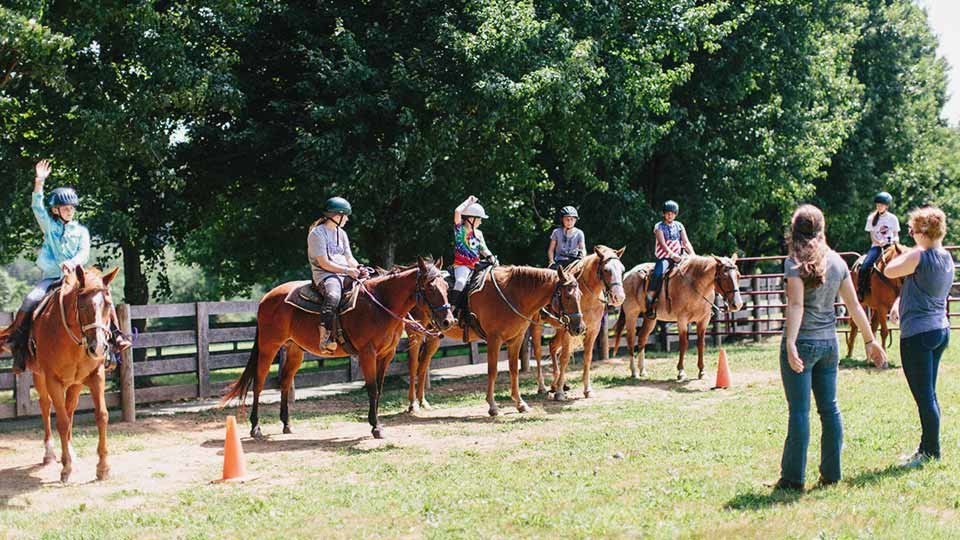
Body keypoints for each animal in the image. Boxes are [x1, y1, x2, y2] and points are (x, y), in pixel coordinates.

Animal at [28, 266, 120, 480]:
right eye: (83, 306)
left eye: (108, 305)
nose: (99, 347)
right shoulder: (52, 380)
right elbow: (61, 421)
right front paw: (66, 467)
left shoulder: (96, 376)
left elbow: (101, 415)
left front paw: (103, 467)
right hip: (40, 378)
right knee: (46, 406)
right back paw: (50, 454)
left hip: (75, 384)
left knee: (69, 410)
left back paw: (69, 451)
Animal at [223, 258, 456, 438]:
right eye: (430, 288)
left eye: (446, 288)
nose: (448, 321)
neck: (381, 305)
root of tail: (266, 298)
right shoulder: (367, 354)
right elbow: (372, 388)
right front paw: (376, 427)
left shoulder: (386, 355)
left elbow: (379, 388)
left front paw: (376, 423)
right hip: (269, 347)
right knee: (259, 383)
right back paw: (256, 428)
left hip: (295, 350)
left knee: (285, 382)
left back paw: (287, 424)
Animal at [406, 264, 584, 416]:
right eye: (567, 296)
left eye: (580, 295)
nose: (579, 327)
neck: (513, 294)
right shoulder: (494, 339)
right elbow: (492, 371)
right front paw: (492, 406)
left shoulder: (516, 339)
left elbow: (514, 370)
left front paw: (520, 403)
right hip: (416, 334)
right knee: (414, 365)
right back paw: (413, 404)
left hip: (433, 338)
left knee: (423, 365)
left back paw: (423, 402)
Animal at [524, 247, 632, 398]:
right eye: (606, 270)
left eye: (622, 270)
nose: (619, 297)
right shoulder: (570, 330)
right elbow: (564, 357)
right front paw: (559, 392)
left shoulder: (592, 330)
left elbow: (587, 357)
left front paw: (587, 389)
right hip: (537, 326)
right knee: (539, 353)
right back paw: (543, 387)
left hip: (560, 329)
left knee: (552, 345)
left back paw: (556, 383)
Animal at [612, 256, 748, 380]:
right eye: (724, 276)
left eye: (738, 275)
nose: (737, 304)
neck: (696, 285)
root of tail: (628, 275)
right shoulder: (682, 320)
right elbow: (683, 344)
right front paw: (681, 372)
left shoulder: (703, 320)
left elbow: (701, 344)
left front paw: (702, 371)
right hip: (631, 314)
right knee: (630, 340)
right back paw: (634, 371)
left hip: (650, 318)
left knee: (642, 338)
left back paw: (642, 370)